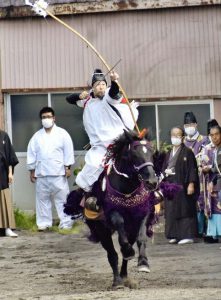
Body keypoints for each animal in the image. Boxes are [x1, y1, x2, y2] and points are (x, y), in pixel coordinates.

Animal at [64, 131, 159, 288]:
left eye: (152, 152)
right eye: (134, 154)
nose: (152, 181)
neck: (127, 188)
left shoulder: (142, 215)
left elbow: (141, 238)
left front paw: (143, 263)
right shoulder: (111, 214)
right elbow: (120, 228)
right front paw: (128, 251)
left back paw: (124, 276)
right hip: (101, 230)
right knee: (112, 254)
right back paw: (117, 280)